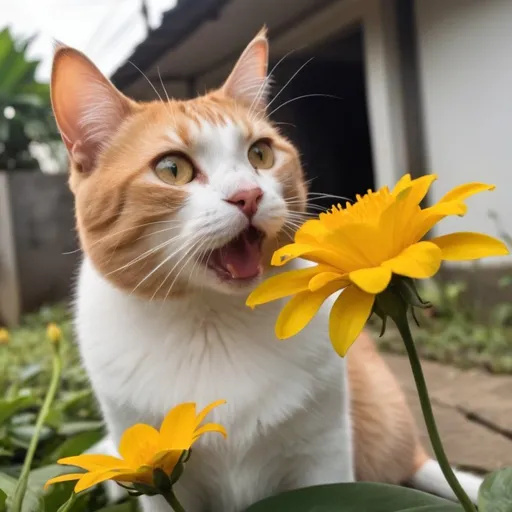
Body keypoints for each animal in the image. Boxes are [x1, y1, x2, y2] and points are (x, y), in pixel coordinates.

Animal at [50, 29, 482, 512]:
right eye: (172, 169)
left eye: (260, 154)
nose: (248, 195)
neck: (213, 320)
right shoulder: (163, 483)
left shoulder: (324, 457)